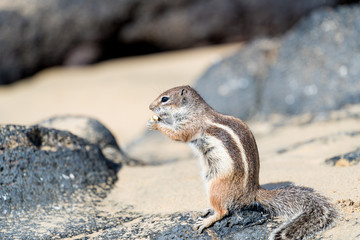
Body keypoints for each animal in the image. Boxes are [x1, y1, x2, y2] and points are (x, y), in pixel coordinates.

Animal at [147, 85, 338, 239]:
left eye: (164, 98)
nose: (149, 107)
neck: (194, 110)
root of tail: (252, 192)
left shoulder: (191, 125)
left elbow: (178, 135)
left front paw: (156, 124)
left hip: (216, 186)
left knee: (223, 211)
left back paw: (207, 221)